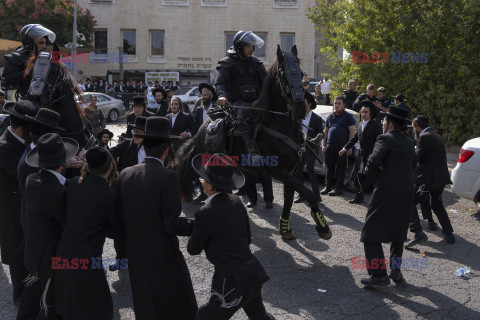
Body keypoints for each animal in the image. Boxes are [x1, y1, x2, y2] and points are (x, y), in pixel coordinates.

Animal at [176, 45, 330, 240]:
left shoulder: (293, 171)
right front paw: (323, 227)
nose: (300, 108)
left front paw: (285, 228)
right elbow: (310, 194)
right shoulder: (279, 171)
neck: (282, 128)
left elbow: (290, 200)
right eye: (283, 73)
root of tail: (202, 129)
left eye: (301, 73)